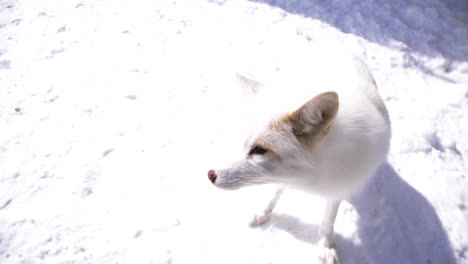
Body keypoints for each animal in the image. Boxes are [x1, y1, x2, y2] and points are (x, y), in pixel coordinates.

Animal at [207, 52, 392, 262]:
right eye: (242, 143)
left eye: (260, 150)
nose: (210, 174)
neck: (309, 177)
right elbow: (274, 192)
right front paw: (264, 211)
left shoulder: (338, 185)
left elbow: (327, 222)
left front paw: (325, 247)